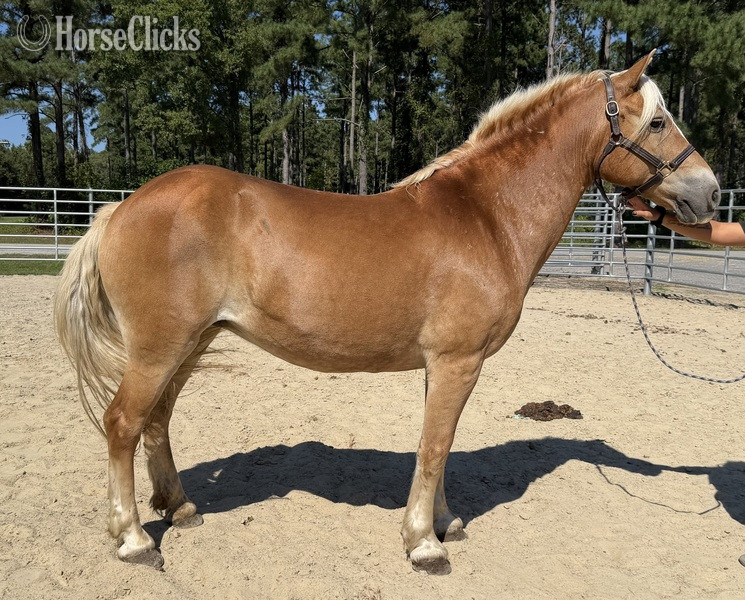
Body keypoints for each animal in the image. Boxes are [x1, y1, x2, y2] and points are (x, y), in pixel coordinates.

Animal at [54, 51, 719, 575]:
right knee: (122, 423)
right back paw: (134, 540)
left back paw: (181, 508)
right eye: (658, 121)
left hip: (188, 344)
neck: (486, 215)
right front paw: (424, 544)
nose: (710, 193)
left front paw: (445, 523)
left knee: (157, 422)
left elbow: (440, 445)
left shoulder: (447, 365)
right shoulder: (457, 361)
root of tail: (121, 208)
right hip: (160, 347)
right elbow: (434, 446)